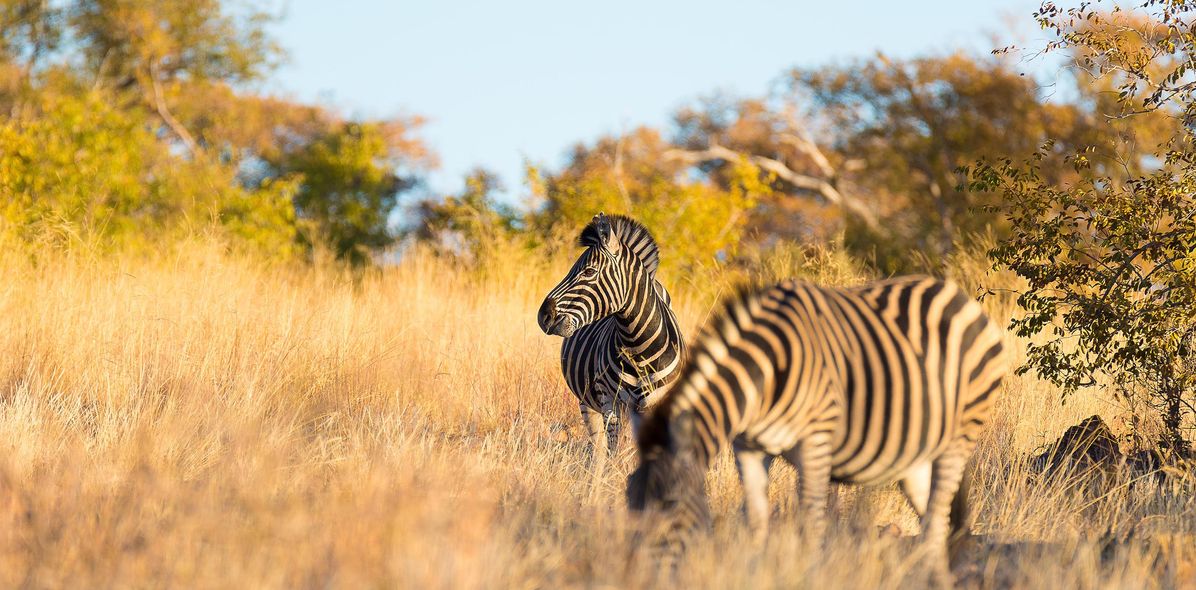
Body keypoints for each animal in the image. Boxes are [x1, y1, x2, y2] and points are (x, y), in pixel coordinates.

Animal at [537, 213, 686, 471]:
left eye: (589, 272)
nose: (543, 315)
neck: (638, 346)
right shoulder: (610, 401)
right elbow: (613, 453)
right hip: (589, 403)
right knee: (598, 451)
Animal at [626, 276, 1008, 577]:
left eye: (670, 504)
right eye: (630, 501)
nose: (637, 574)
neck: (765, 375)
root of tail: (957, 295)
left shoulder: (816, 441)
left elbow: (810, 522)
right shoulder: (748, 448)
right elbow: (756, 521)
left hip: (960, 435)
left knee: (938, 519)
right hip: (917, 455)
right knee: (936, 522)